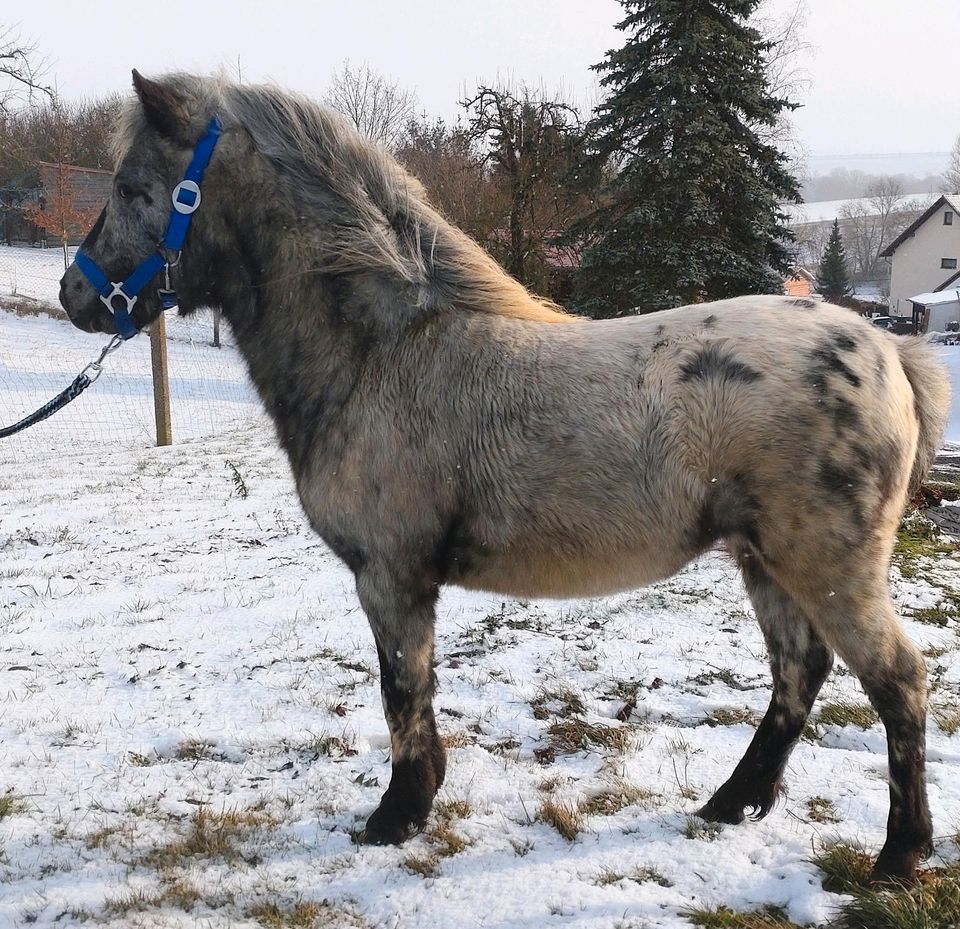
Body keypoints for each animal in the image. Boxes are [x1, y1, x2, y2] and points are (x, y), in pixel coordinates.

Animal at [60, 69, 952, 880]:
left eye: (132, 186)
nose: (75, 293)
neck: (385, 354)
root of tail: (888, 350)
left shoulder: (391, 576)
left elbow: (402, 687)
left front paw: (397, 814)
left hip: (827, 565)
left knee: (897, 680)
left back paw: (900, 853)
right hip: (766, 558)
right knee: (799, 672)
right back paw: (733, 802)